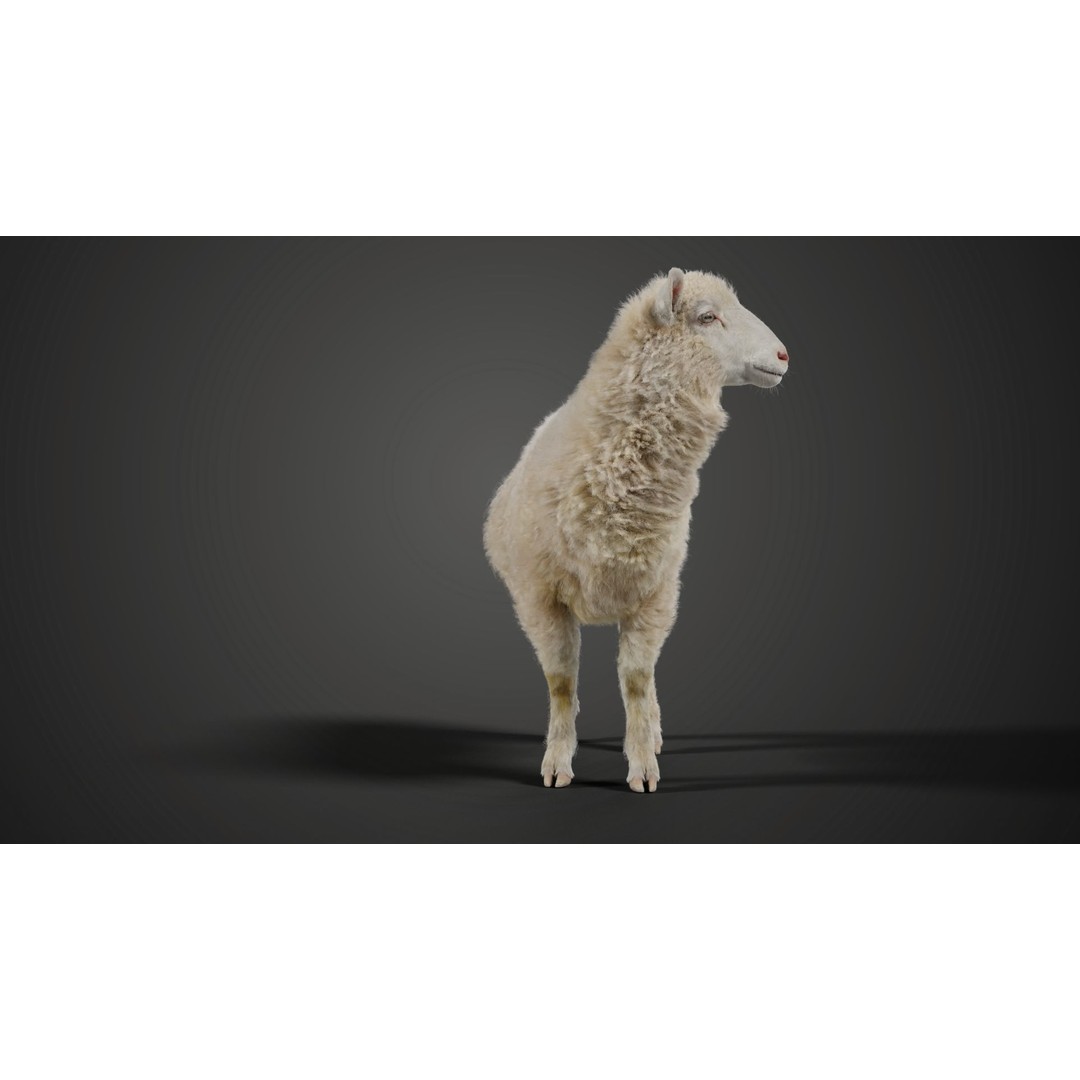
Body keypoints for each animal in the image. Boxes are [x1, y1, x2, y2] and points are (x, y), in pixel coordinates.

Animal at [483, 268, 790, 793]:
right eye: (707, 317)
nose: (785, 355)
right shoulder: (540, 598)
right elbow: (561, 682)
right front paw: (557, 761)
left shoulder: (654, 596)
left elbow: (637, 681)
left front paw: (643, 763)